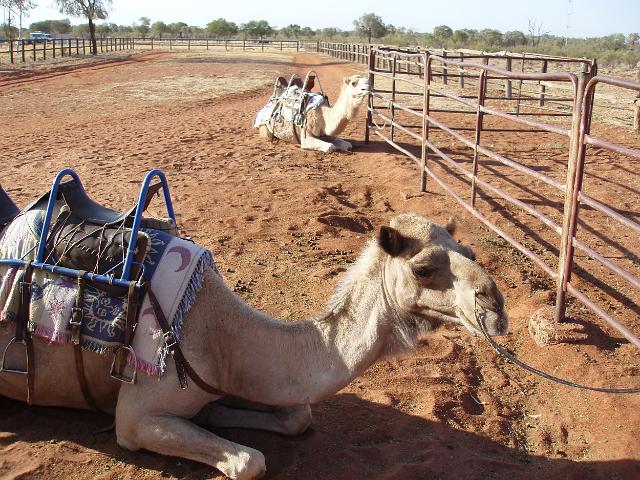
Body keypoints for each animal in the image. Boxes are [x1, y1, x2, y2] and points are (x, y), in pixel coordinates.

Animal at [0, 213, 508, 480]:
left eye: (471, 252)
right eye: (423, 268)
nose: (495, 305)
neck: (221, 334)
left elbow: (298, 416)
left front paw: (215, 415)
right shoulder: (135, 416)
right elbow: (250, 461)